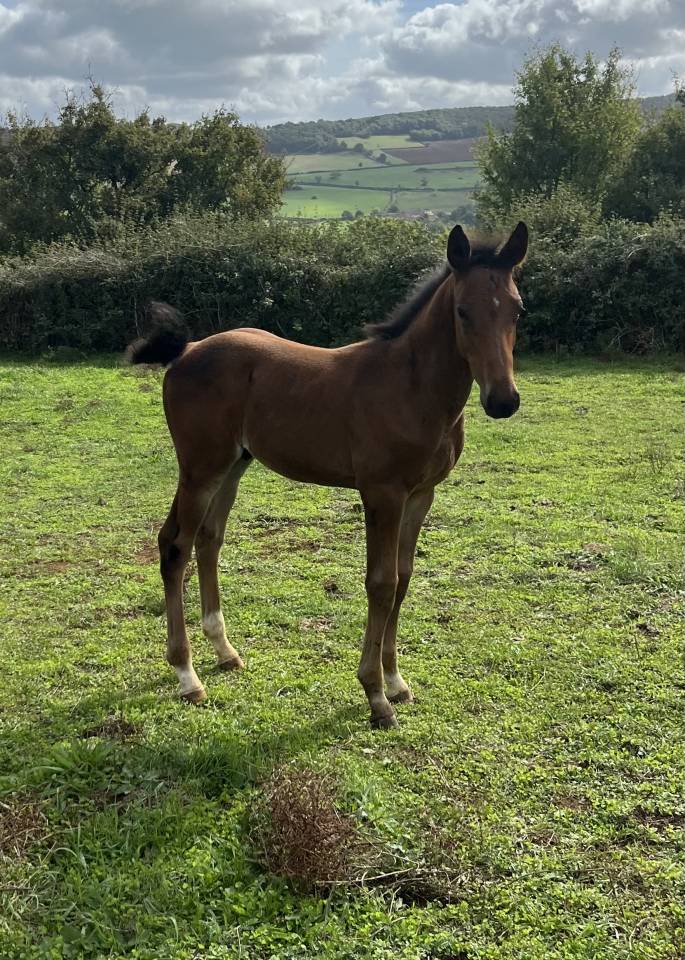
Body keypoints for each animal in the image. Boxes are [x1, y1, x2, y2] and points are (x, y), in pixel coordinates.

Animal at [127, 222, 528, 729]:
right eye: (462, 310)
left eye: (518, 309)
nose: (503, 401)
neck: (412, 387)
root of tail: (186, 350)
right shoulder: (382, 493)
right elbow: (381, 583)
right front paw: (376, 696)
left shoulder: (421, 495)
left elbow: (404, 578)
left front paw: (397, 682)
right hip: (200, 467)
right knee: (175, 546)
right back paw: (187, 675)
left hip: (234, 464)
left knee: (208, 539)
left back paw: (225, 652)